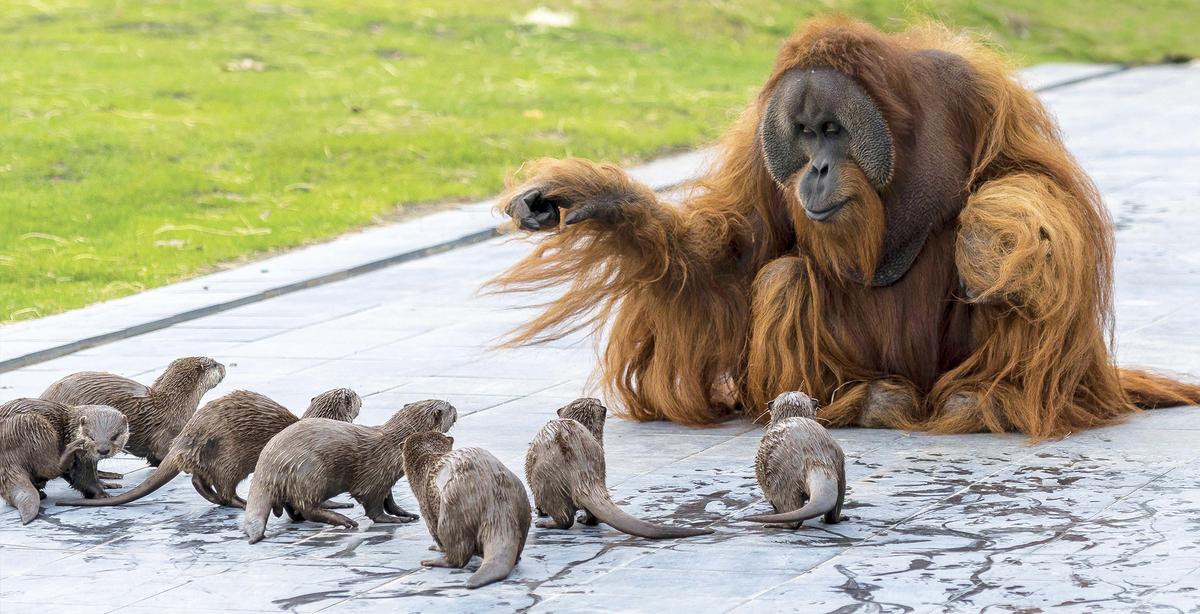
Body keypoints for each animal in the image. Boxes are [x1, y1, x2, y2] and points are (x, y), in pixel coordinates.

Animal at [58, 388, 361, 509]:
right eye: (354, 395)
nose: (358, 393)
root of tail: (187, 436)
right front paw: (339, 503)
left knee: (199, 479)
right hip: (231, 456)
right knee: (224, 485)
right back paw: (239, 503)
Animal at [242, 399, 457, 543]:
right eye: (449, 407)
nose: (456, 408)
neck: (394, 448)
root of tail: (266, 467)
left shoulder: (385, 478)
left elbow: (390, 500)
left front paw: (406, 513)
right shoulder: (373, 479)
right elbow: (374, 508)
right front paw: (395, 519)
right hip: (311, 472)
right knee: (307, 507)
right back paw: (344, 520)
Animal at [404, 431, 532, 588]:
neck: (428, 461)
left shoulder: (425, 505)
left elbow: (435, 533)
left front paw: (436, 547)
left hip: (452, 510)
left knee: (458, 554)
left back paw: (434, 561)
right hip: (522, 502)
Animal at [525, 398, 713, 539]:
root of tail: (582, 474)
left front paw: (539, 511)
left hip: (545, 479)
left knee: (564, 518)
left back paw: (544, 523)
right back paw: (583, 519)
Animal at [744, 391, 846, 527]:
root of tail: (816, 459)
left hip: (782, 482)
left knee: (793, 518)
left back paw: (775, 524)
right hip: (840, 469)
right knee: (834, 512)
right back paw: (839, 518)